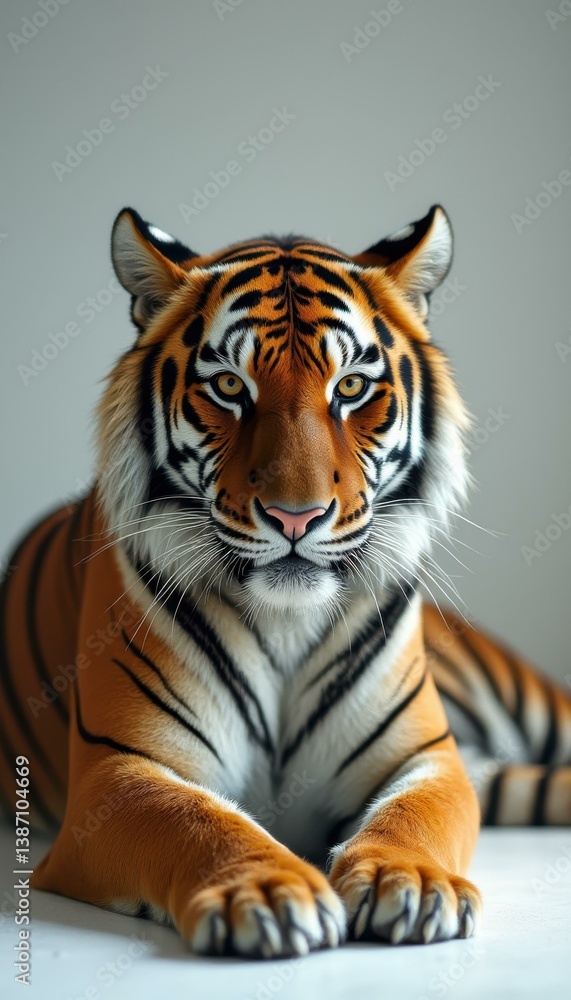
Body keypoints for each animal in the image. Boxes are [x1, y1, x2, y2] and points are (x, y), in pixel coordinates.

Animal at [1, 204, 570, 960]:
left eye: (350, 387)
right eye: (229, 387)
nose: (295, 515)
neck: (285, 623)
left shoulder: (429, 758)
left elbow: (415, 814)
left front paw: (410, 882)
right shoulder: (116, 774)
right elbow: (196, 819)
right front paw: (267, 893)